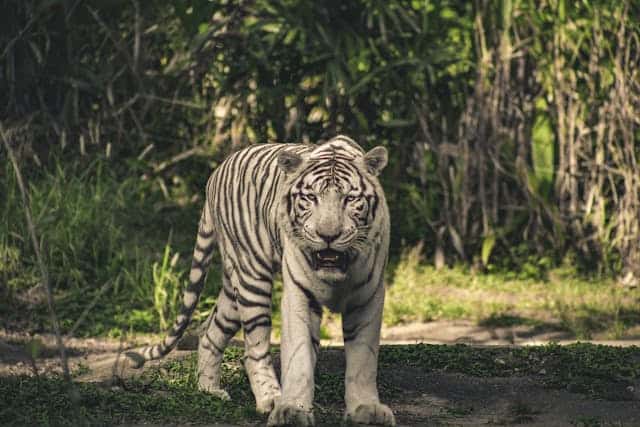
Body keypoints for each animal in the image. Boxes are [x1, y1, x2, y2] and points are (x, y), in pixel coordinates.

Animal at [125, 135, 395, 427]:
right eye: (310, 198)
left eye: (350, 199)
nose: (328, 235)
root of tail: (215, 173)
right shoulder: (298, 294)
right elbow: (299, 355)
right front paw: (293, 410)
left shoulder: (368, 296)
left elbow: (363, 359)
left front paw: (366, 409)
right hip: (251, 276)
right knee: (253, 350)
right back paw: (270, 399)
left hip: (233, 288)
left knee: (211, 332)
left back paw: (209, 390)